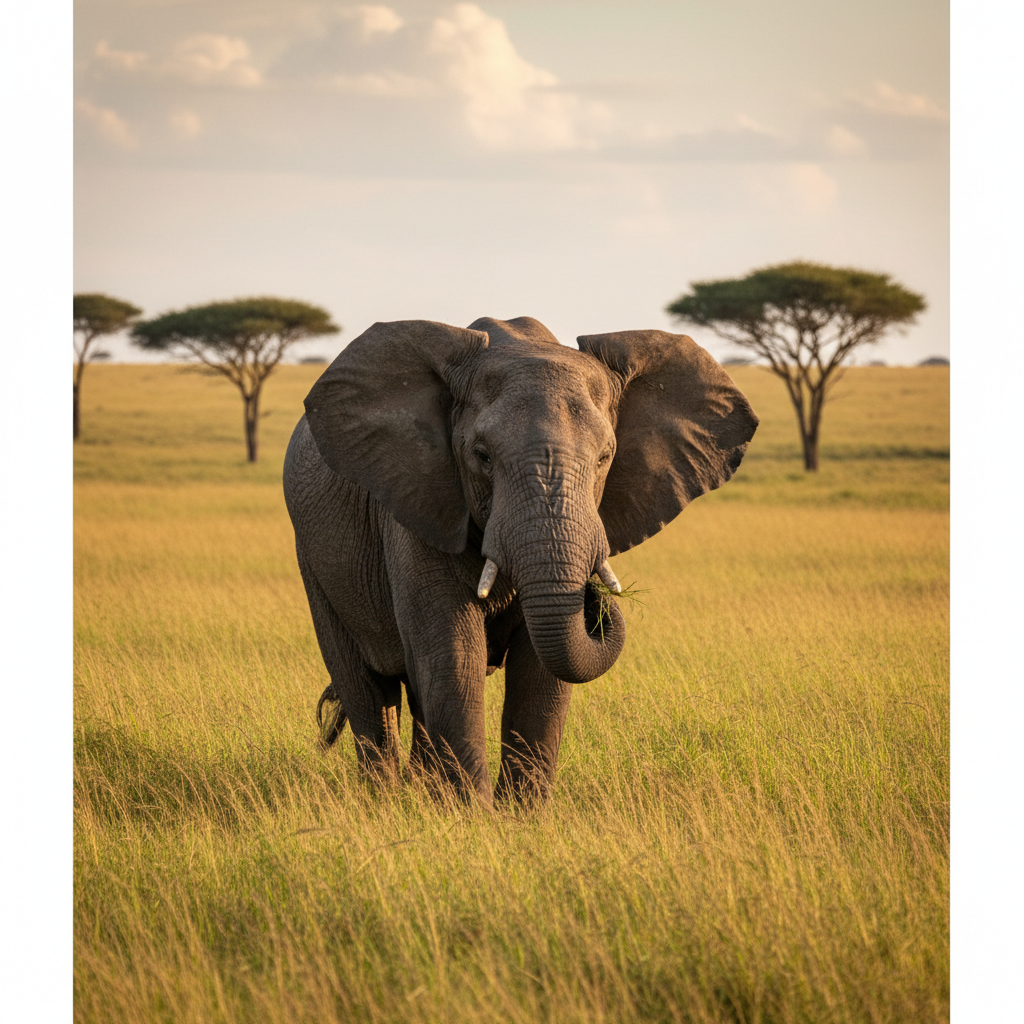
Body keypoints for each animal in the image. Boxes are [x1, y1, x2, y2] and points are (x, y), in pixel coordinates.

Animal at [283, 316, 758, 808]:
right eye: (481, 456)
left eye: (605, 457)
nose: (596, 599)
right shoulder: (420, 504)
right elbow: (454, 654)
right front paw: (471, 815)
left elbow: (539, 672)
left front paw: (520, 816)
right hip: (313, 559)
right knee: (365, 689)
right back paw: (385, 800)